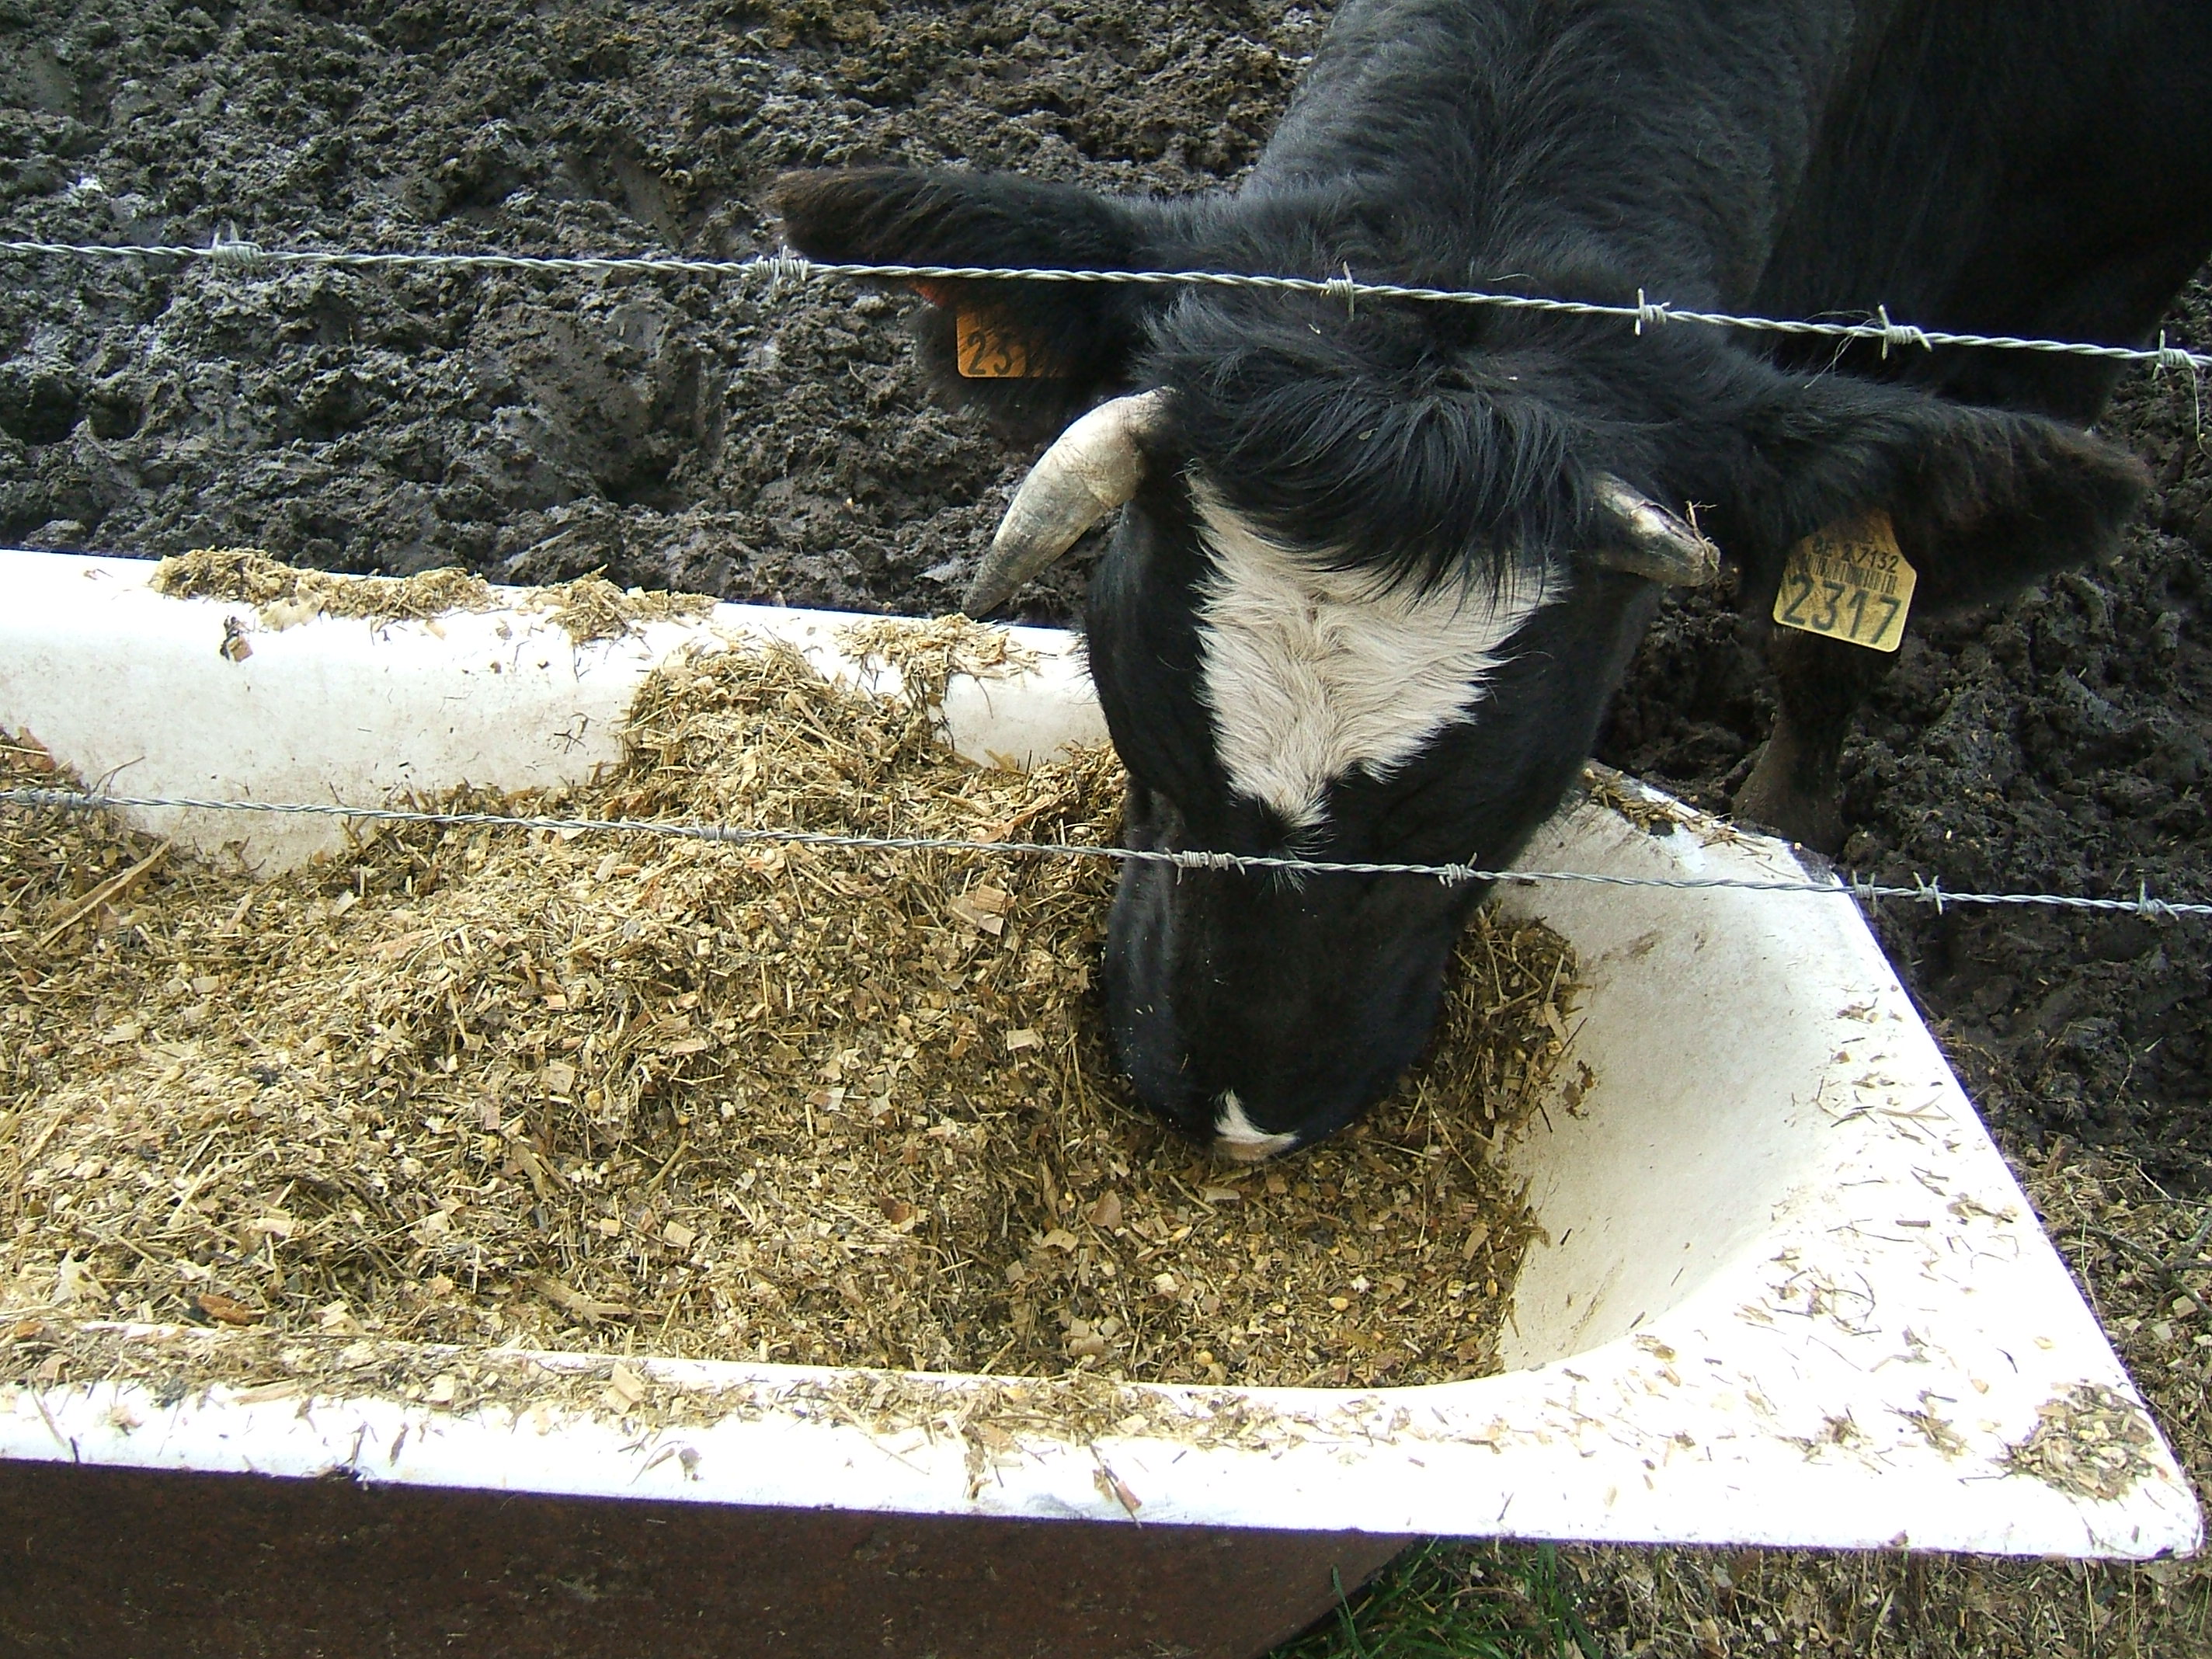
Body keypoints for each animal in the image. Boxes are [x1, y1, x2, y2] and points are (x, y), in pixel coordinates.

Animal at [774, 0, 2212, 1159]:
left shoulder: (2075, 285)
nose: (1241, 1117)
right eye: (1150, 732)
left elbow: (1831, 636)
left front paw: (1788, 828)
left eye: (1470, 813)